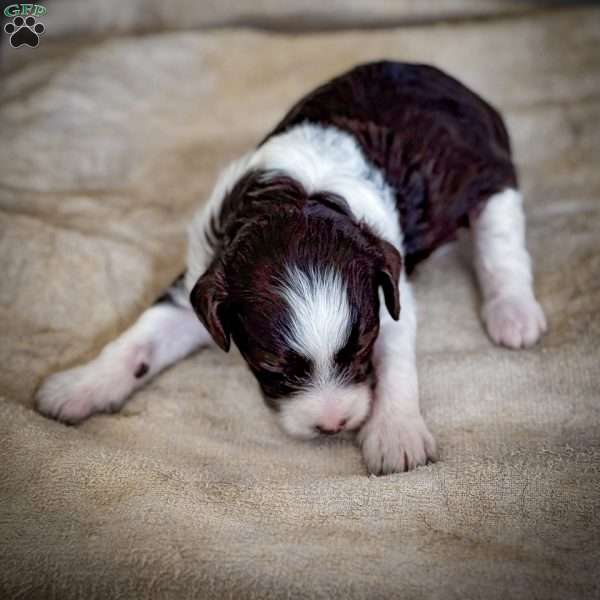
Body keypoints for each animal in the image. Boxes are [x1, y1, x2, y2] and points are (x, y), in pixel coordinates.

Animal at [35, 61, 548, 474]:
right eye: (270, 369)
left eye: (361, 350)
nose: (333, 425)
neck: (299, 197)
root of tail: (456, 84)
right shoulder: (201, 281)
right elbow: (139, 340)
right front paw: (78, 385)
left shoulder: (388, 296)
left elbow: (398, 363)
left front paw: (395, 433)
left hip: (488, 176)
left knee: (502, 245)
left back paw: (513, 313)